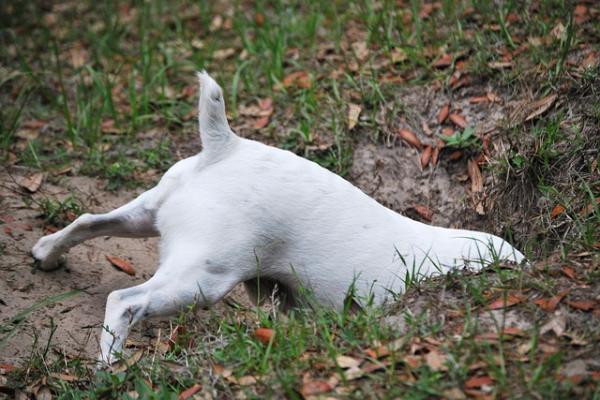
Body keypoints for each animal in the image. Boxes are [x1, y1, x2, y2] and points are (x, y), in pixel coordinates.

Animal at [30, 71, 524, 362]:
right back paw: (109, 368)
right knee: (125, 301)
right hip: (202, 279)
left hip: (146, 218)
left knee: (87, 221)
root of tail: (226, 146)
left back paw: (46, 255)